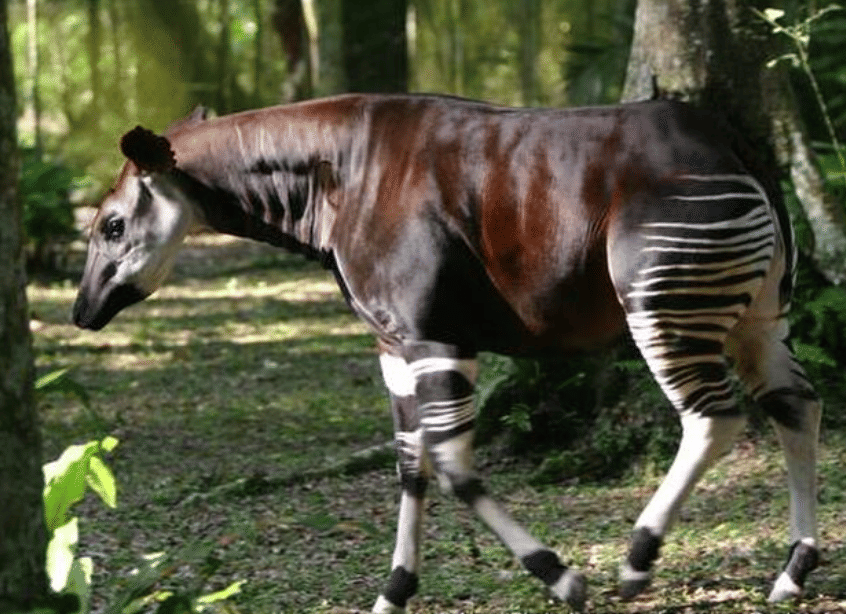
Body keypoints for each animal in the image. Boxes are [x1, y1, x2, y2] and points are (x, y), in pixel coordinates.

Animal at [72, 94, 821, 611]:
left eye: (112, 226)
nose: (82, 313)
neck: (335, 181)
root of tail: (732, 147)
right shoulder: (393, 340)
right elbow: (412, 465)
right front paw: (393, 591)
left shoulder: (434, 334)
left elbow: (455, 465)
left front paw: (561, 576)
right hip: (758, 312)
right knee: (795, 404)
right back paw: (792, 571)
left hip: (661, 303)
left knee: (715, 417)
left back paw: (638, 561)